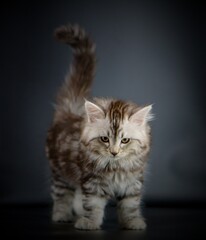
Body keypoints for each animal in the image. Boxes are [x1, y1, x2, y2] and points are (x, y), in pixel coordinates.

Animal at [46, 24, 153, 231]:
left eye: (125, 140)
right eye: (104, 139)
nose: (114, 152)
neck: (116, 167)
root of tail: (69, 112)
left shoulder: (132, 183)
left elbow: (130, 205)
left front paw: (132, 223)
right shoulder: (91, 182)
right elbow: (93, 204)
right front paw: (89, 223)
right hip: (60, 172)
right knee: (62, 195)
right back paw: (62, 215)